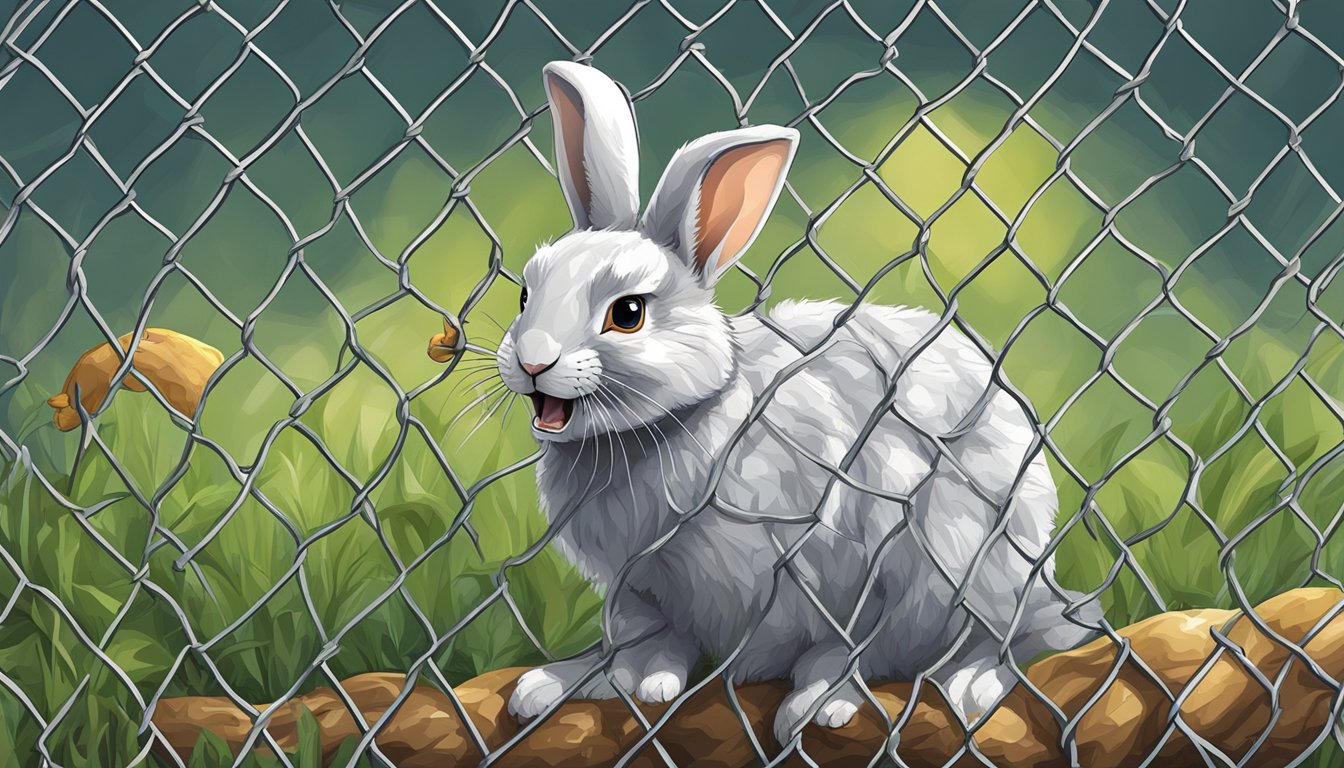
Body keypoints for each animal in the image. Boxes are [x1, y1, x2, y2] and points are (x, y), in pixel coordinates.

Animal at [495, 61, 1100, 747]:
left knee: (994, 640)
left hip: (965, 559)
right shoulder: (644, 589)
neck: (682, 419)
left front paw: (816, 704)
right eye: (525, 293)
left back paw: (968, 687)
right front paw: (580, 682)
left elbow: (843, 649)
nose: (532, 361)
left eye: (628, 314)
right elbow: (643, 643)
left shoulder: (842, 564)